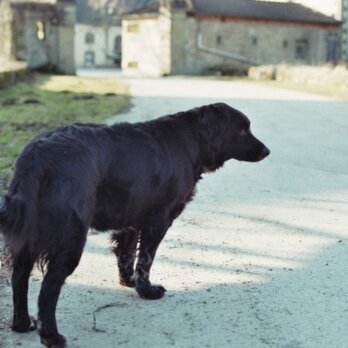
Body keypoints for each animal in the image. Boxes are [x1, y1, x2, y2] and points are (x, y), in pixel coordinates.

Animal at [0, 102, 270, 346]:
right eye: (242, 130)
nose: (267, 151)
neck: (189, 141)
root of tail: (37, 155)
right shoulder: (159, 220)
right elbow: (145, 260)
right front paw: (147, 291)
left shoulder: (131, 218)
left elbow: (127, 254)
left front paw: (128, 281)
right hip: (70, 239)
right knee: (48, 289)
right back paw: (51, 336)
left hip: (30, 237)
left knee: (19, 278)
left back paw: (22, 324)